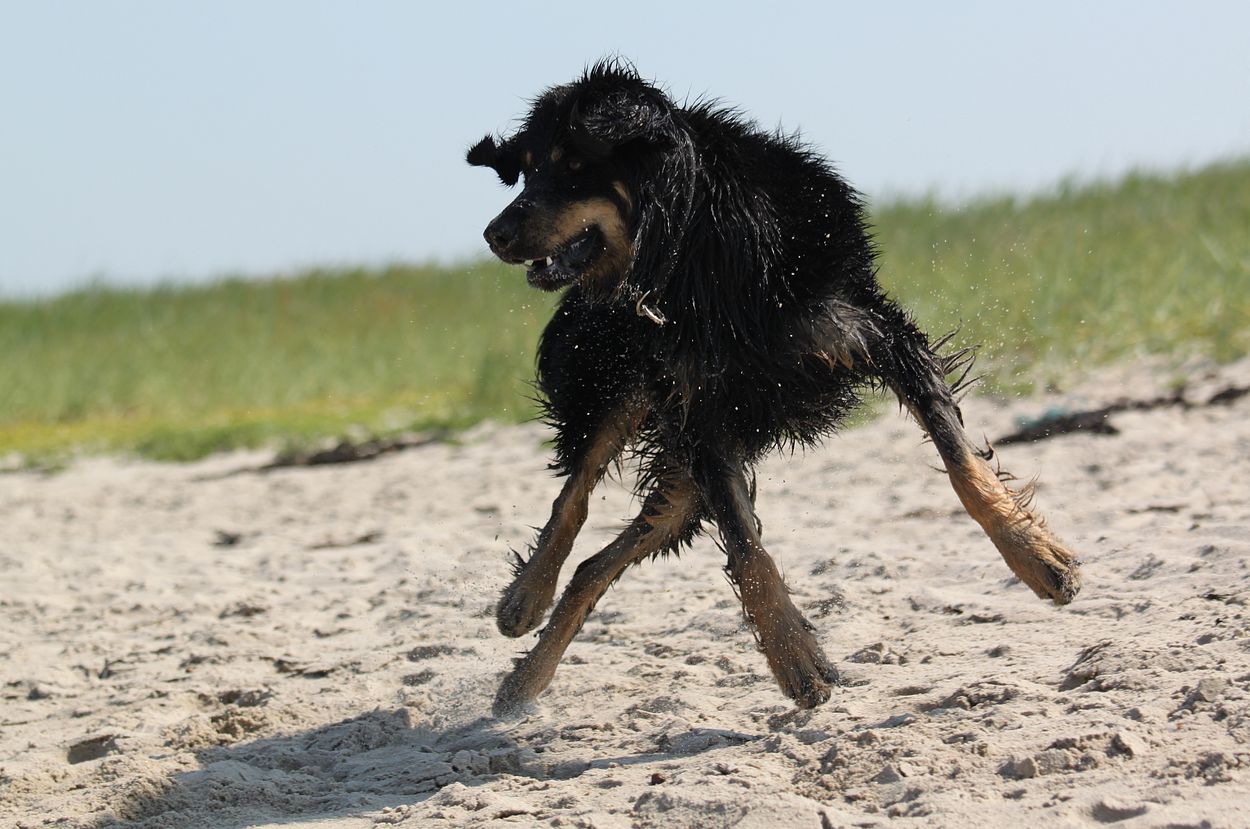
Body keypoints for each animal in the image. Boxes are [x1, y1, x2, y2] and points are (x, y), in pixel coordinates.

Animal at [467, 59, 1081, 717]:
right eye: (529, 169)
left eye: (575, 164)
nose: (493, 233)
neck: (705, 254)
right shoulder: (700, 411)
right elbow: (744, 543)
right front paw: (794, 655)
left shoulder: (875, 333)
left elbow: (960, 459)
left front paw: (1034, 555)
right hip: (620, 395)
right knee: (575, 493)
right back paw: (525, 601)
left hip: (679, 484)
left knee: (596, 560)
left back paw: (525, 675)